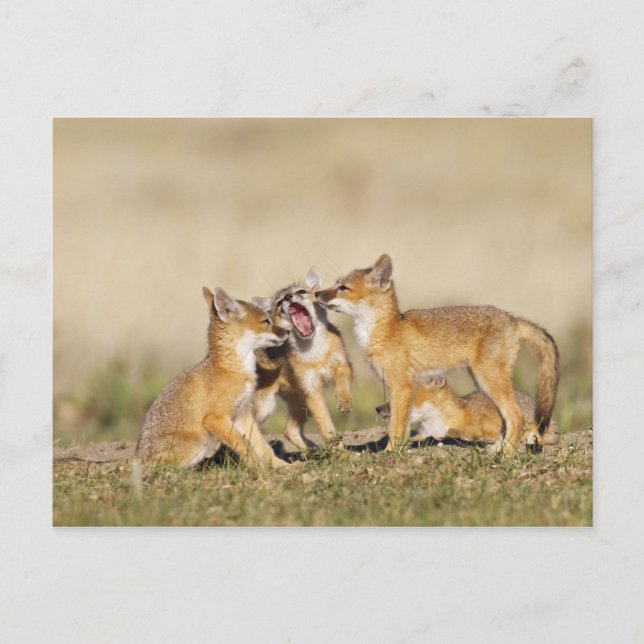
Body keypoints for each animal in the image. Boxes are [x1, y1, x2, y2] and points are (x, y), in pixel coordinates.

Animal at [135, 287, 291, 468]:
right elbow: (244, 444)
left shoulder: (242, 413)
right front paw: (258, 469)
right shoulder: (215, 418)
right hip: (199, 441)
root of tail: (137, 454)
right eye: (266, 321)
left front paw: (281, 466)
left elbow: (262, 446)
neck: (232, 369)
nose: (288, 331)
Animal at [251, 266, 353, 450]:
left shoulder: (342, 364)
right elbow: (326, 428)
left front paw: (344, 401)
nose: (288, 297)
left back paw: (312, 451)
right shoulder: (312, 391)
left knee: (288, 430)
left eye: (301, 292)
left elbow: (342, 382)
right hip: (265, 408)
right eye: (279, 303)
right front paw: (339, 453)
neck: (316, 354)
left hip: (300, 404)